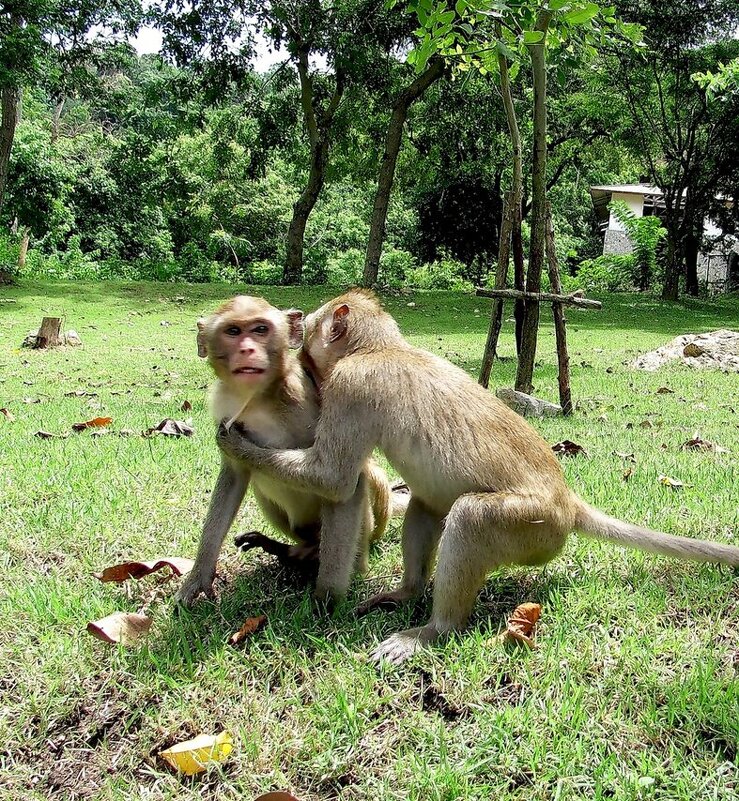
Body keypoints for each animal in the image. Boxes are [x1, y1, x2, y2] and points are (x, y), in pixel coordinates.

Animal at [174, 294, 404, 608]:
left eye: (260, 329)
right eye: (233, 331)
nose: (247, 349)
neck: (258, 399)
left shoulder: (303, 401)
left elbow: (342, 482)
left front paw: (328, 599)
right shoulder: (225, 406)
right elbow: (234, 477)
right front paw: (199, 576)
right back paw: (293, 552)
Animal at [217, 288, 739, 664]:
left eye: (310, 333)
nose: (296, 335)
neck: (379, 349)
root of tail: (567, 502)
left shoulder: (351, 384)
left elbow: (334, 478)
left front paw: (237, 443)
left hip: (534, 529)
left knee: (469, 518)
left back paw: (433, 631)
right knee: (427, 503)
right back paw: (407, 593)